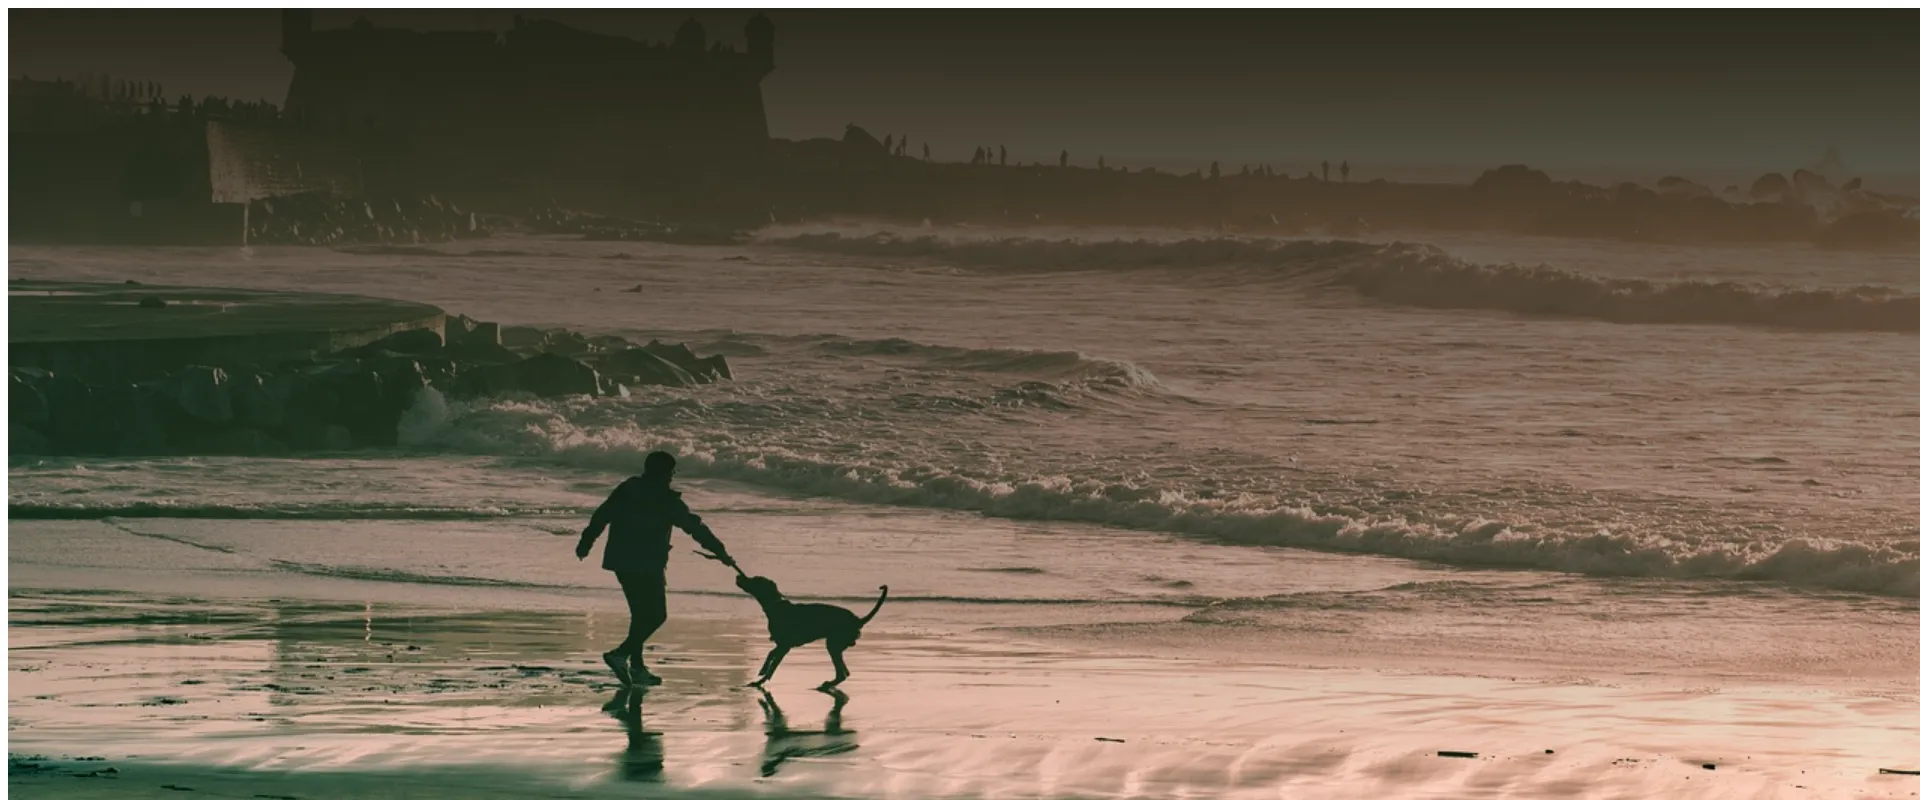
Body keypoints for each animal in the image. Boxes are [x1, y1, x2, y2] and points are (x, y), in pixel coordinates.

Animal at [733, 575, 890, 686]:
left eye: (755, 579)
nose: (738, 576)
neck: (775, 605)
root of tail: (858, 620)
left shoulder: (784, 646)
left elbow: (772, 663)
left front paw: (761, 676)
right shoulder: (782, 646)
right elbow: (771, 660)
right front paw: (762, 674)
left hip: (833, 645)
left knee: (842, 674)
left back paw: (827, 685)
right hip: (836, 646)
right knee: (845, 673)